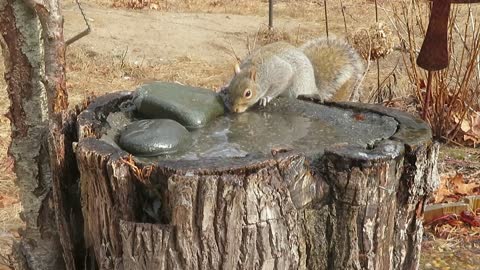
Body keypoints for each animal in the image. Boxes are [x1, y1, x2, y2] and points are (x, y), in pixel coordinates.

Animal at [223, 35, 366, 112]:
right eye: (230, 89)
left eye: (248, 93)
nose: (235, 110)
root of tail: (314, 87)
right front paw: (223, 89)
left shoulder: (280, 73)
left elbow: (280, 84)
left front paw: (265, 98)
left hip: (299, 88)